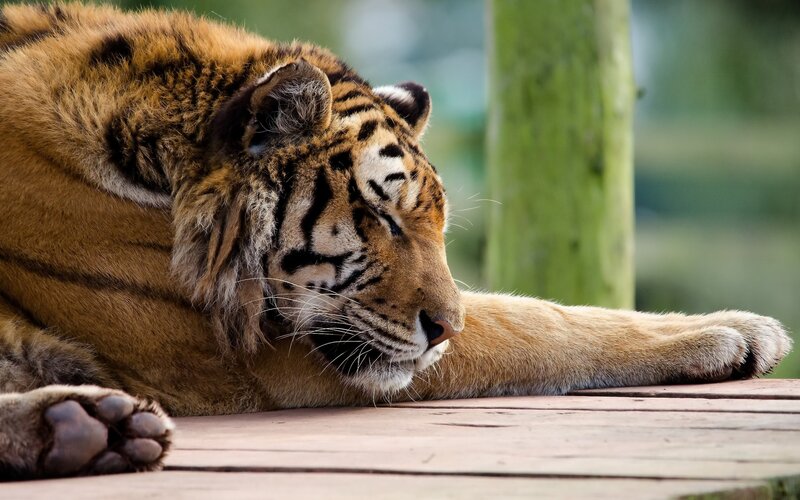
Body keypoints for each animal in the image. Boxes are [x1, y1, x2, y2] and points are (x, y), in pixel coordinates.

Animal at [0, 2, 791, 481]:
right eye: (381, 217)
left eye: (438, 226)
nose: (444, 329)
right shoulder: (239, 352)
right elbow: (536, 322)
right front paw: (735, 331)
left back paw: (85, 427)